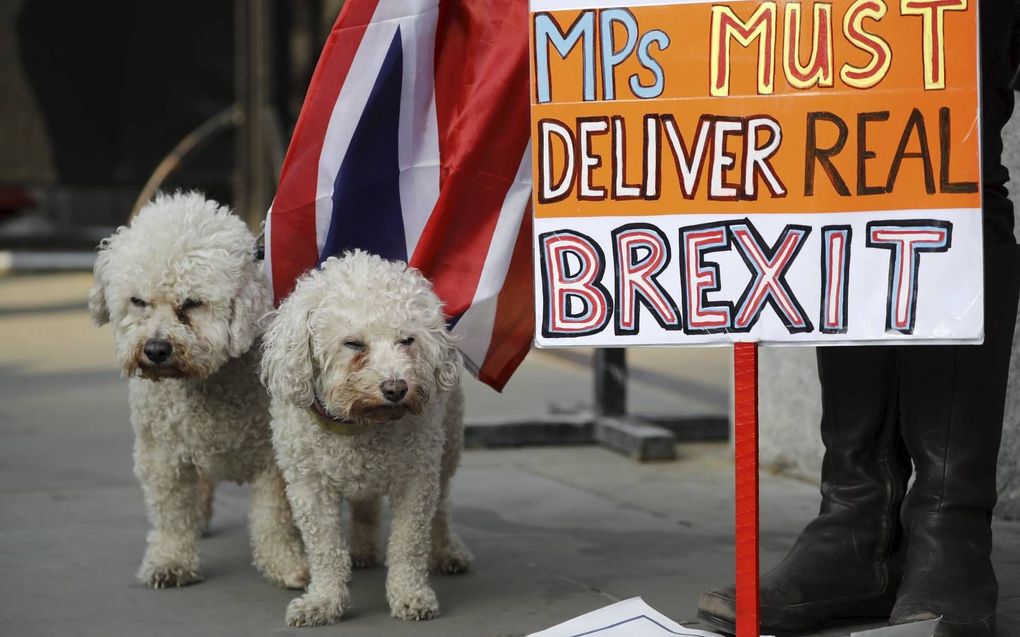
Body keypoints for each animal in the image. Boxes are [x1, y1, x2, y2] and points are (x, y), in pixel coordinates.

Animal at [90, 191, 306, 587]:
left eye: (192, 303)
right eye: (138, 301)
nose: (156, 349)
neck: (207, 380)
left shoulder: (273, 458)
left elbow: (273, 517)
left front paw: (283, 563)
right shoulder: (162, 452)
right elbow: (172, 512)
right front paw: (171, 560)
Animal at [261, 249, 471, 627]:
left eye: (407, 340)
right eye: (353, 343)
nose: (396, 388)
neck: (361, 424)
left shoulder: (416, 480)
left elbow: (408, 543)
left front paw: (410, 595)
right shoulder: (309, 488)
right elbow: (325, 549)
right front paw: (324, 601)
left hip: (448, 443)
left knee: (442, 503)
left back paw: (446, 549)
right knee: (365, 504)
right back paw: (361, 547)